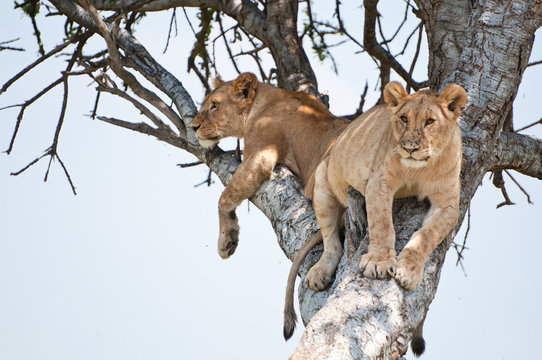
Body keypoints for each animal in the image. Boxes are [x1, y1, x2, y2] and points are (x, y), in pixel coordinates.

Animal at [284, 81, 468, 354]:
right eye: (403, 119)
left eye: (430, 121)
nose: (410, 148)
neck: (419, 169)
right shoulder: (378, 182)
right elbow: (382, 224)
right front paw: (379, 263)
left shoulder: (448, 203)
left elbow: (426, 236)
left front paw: (409, 271)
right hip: (323, 178)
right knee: (331, 240)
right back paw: (320, 272)